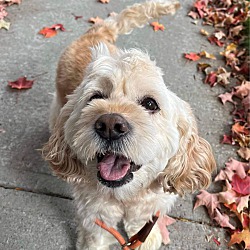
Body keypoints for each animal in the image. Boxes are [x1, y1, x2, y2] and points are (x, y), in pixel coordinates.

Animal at [42, 0, 216, 249]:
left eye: (150, 103)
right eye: (95, 97)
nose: (110, 125)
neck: (126, 196)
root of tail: (95, 34)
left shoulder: (147, 208)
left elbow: (141, 225)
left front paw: (147, 238)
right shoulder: (95, 215)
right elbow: (94, 236)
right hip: (57, 104)